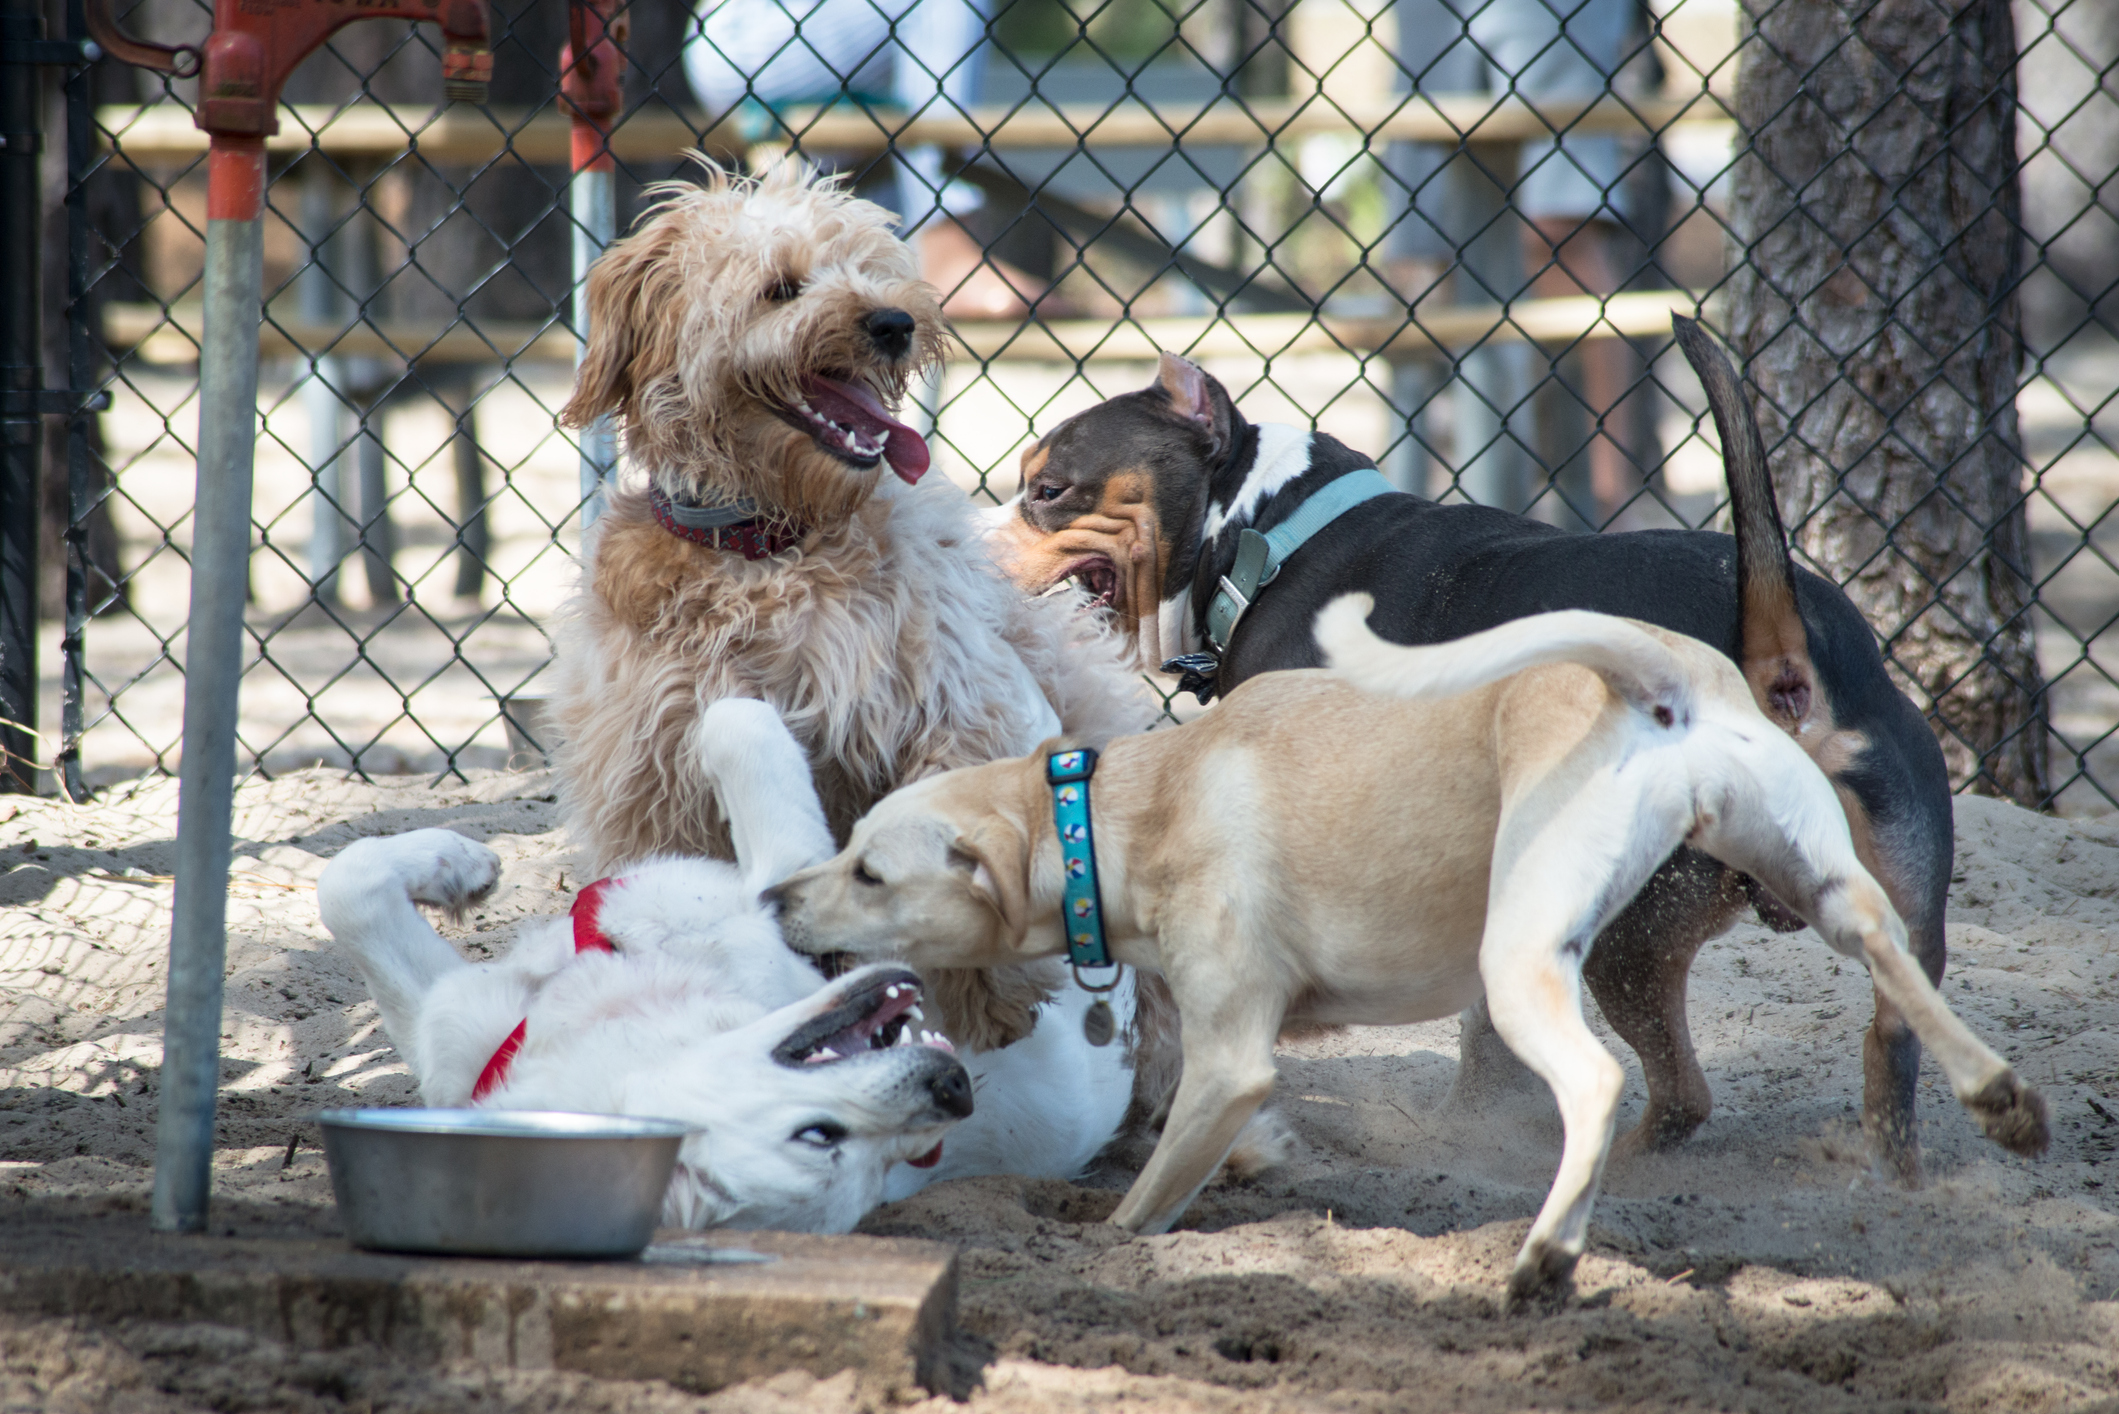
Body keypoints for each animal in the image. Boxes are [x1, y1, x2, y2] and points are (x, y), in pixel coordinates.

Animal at [546, 160, 1144, 1055]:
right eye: (780, 288)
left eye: (870, 267)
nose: (895, 322)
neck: (768, 546)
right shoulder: (651, 777)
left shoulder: (954, 704)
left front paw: (991, 1001)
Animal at [771, 597, 2042, 1305]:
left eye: (868, 869)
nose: (776, 892)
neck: (1107, 814)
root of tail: (1657, 677)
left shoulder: (1230, 1061)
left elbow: (1141, 1203)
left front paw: (1108, 1243)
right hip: (1819, 878)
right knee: (1891, 960)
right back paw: (2000, 1098)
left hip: (1527, 958)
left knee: (1595, 1083)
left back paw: (1543, 1259)